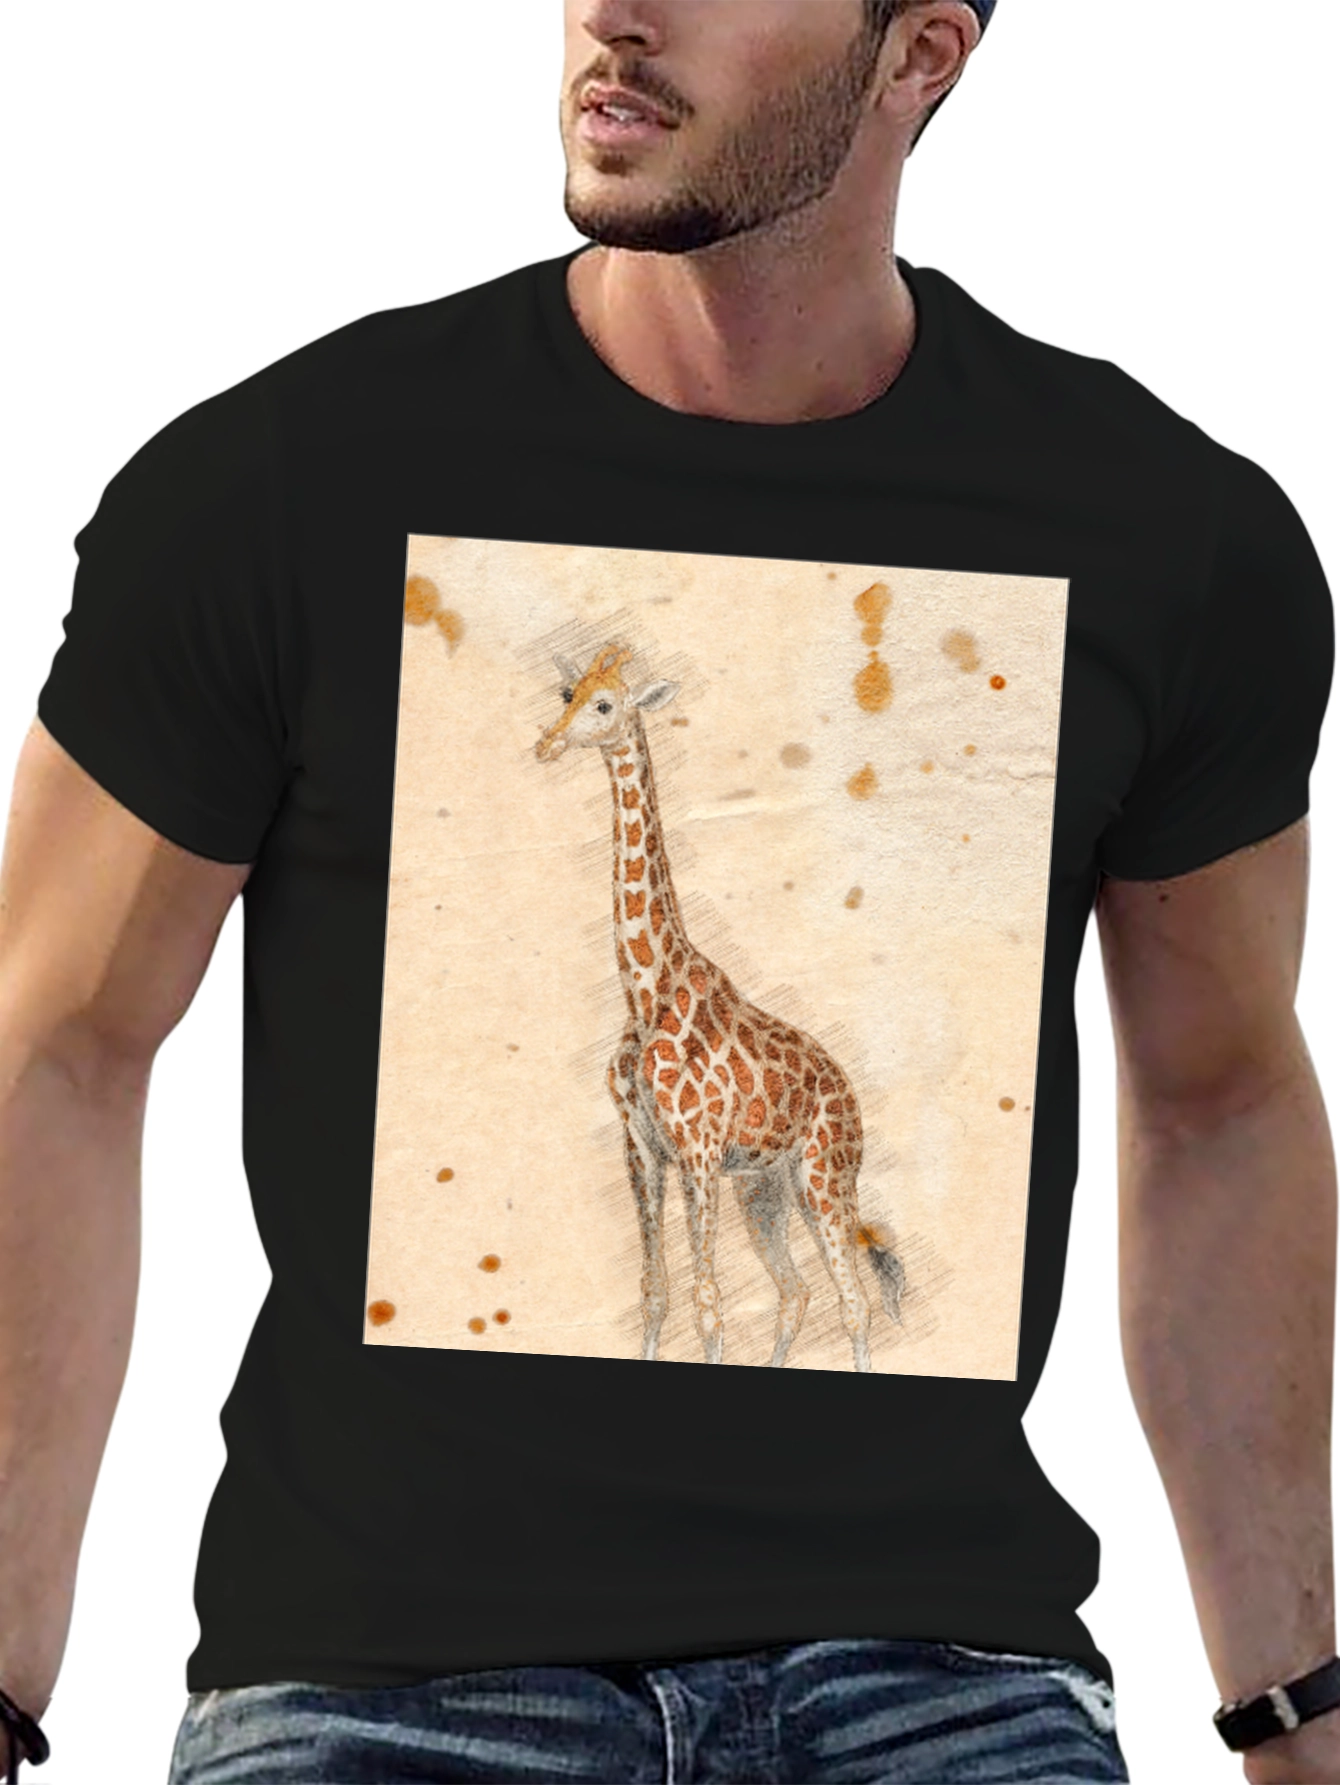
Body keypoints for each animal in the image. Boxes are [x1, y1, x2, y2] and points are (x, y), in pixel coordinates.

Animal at [535, 643, 906, 1372]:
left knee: (854, 1299)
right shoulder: (643, 1151)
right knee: (796, 1292)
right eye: (567, 693)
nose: (547, 743)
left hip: (824, 1177)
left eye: (605, 704)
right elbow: (656, 1293)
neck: (646, 991)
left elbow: (708, 1303)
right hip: (764, 1187)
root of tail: (850, 1094)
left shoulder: (699, 1151)